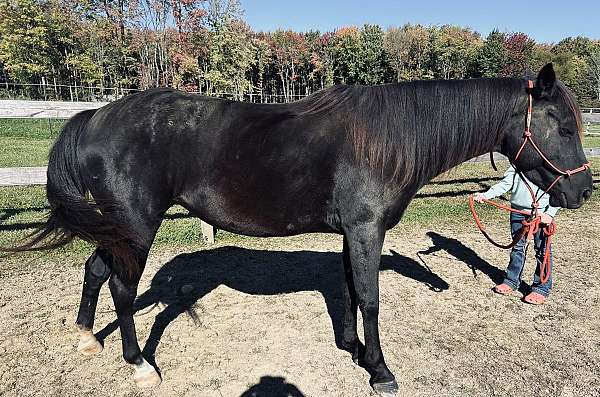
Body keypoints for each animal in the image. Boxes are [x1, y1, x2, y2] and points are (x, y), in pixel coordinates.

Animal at [4, 63, 592, 394]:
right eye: (564, 127)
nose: (583, 192)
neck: (386, 138)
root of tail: (95, 116)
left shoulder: (353, 234)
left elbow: (351, 290)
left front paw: (354, 348)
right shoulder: (365, 230)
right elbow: (370, 297)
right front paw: (380, 370)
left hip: (117, 229)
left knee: (95, 269)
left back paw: (86, 337)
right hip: (136, 226)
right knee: (124, 288)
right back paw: (139, 365)